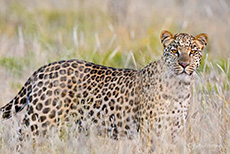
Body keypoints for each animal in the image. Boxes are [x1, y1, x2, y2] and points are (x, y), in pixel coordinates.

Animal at [0, 30, 208, 147]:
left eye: (193, 51)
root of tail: (43, 68)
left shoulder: (174, 131)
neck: (179, 89)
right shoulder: (149, 131)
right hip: (38, 122)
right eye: (174, 51)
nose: (183, 64)